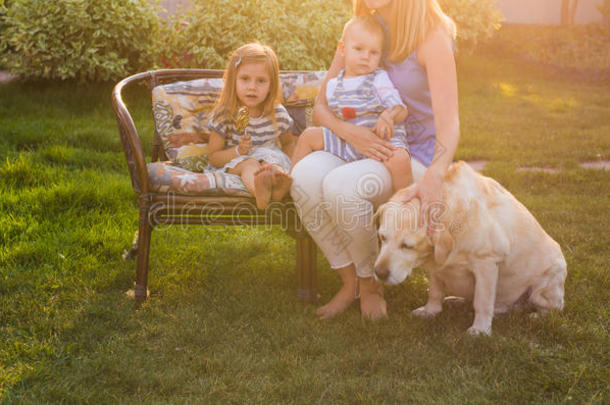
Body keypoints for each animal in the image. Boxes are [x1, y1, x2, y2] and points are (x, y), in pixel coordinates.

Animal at [372, 161, 568, 334]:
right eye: (382, 237)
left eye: (407, 246)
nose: (379, 273)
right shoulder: (437, 266)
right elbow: (435, 291)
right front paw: (431, 310)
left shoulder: (487, 264)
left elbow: (482, 302)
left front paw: (480, 330)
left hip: (546, 284)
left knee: (553, 307)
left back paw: (536, 315)